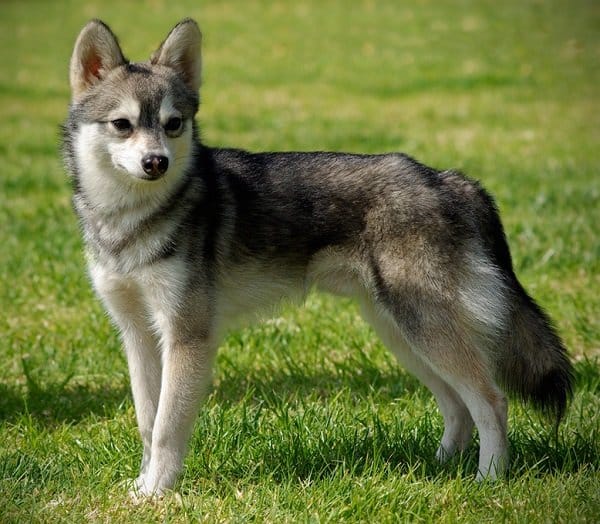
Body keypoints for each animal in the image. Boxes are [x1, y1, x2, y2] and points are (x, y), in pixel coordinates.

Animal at [63, 19, 576, 496]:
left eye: (173, 124)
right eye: (123, 124)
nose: (156, 163)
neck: (130, 221)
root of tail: (450, 179)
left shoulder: (187, 337)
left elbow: (168, 429)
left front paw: (157, 495)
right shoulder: (138, 335)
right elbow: (147, 425)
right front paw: (142, 486)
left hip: (424, 331)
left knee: (491, 402)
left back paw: (488, 479)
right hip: (402, 335)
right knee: (457, 407)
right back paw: (439, 469)